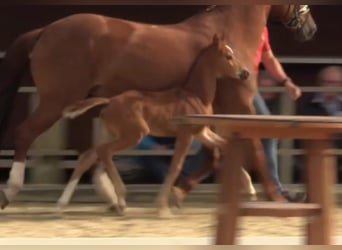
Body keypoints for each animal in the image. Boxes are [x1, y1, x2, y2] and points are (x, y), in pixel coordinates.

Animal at [56, 34, 248, 217]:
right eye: (228, 56)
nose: (245, 73)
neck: (196, 96)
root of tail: (110, 101)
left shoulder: (201, 132)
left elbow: (225, 145)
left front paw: (249, 187)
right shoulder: (185, 135)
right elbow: (175, 167)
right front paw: (163, 208)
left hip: (110, 133)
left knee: (88, 156)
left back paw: (62, 204)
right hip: (135, 134)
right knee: (105, 151)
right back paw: (121, 201)